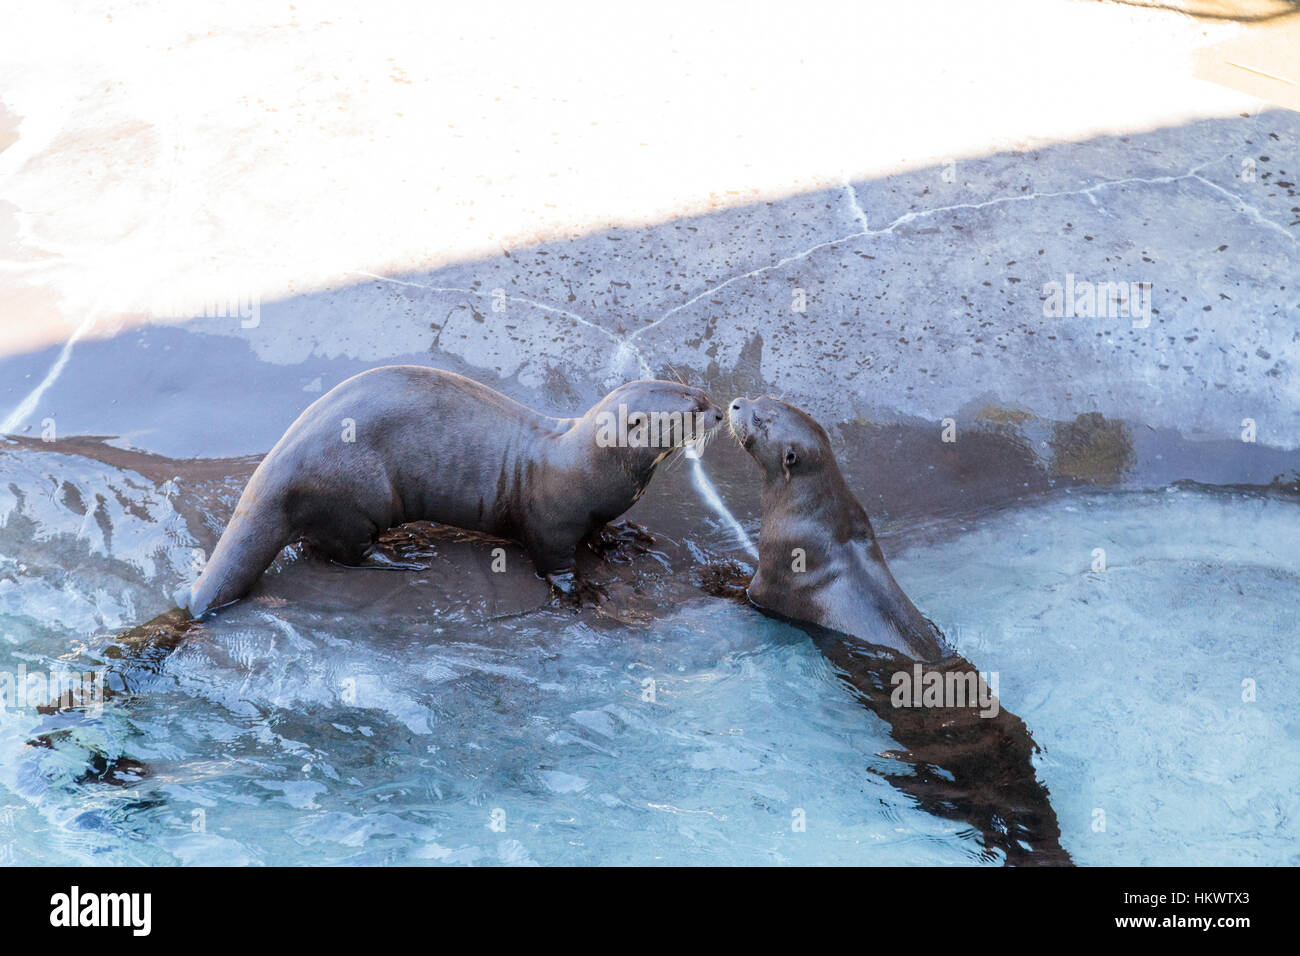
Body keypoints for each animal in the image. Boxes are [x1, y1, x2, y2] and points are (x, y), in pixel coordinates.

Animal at [183, 366, 722, 621]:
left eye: (701, 392)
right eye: (690, 411)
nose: (721, 411)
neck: (589, 469)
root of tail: (274, 468)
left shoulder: (596, 512)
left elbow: (600, 533)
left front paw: (623, 540)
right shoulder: (550, 524)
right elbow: (555, 563)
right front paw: (583, 590)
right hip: (355, 494)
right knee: (340, 550)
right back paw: (405, 553)